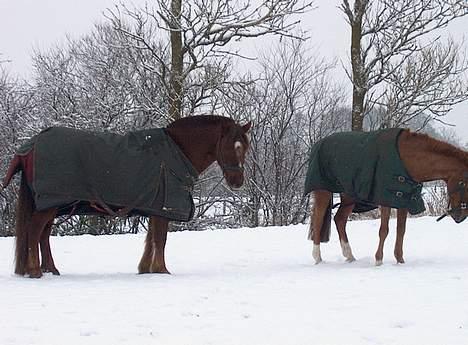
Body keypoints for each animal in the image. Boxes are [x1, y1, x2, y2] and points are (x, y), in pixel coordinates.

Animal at [2, 115, 252, 276]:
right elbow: (160, 239)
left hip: (53, 204)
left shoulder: (154, 206)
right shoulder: (164, 207)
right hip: (50, 203)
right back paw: (35, 270)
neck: (174, 152)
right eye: (230, 146)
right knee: (35, 231)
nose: (237, 182)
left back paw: (50, 269)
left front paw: (146, 269)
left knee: (43, 234)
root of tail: (32, 145)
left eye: (245, 147)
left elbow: (151, 239)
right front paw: (161, 270)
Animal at [306, 127, 468, 264]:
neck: (407, 160)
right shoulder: (385, 200)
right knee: (318, 220)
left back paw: (349, 256)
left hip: (349, 197)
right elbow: (384, 230)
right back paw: (317, 257)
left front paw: (400, 260)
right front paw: (379, 260)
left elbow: (401, 230)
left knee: (339, 219)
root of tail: (318, 144)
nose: (461, 216)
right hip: (323, 191)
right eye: (463, 183)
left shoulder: (403, 200)